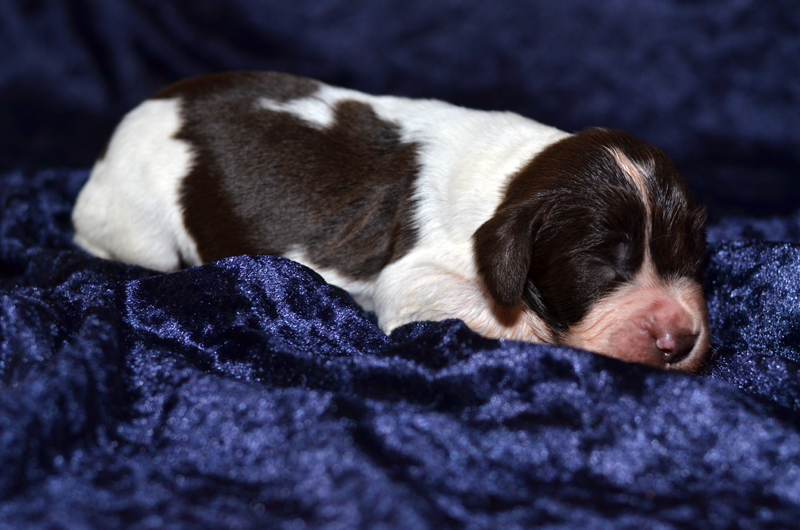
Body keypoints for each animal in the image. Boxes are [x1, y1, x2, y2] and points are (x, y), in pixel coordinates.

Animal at [73, 70, 712, 370]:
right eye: (599, 262)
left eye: (692, 252)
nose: (680, 340)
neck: (519, 176)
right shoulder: (414, 275)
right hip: (139, 223)